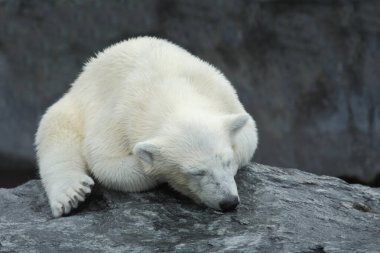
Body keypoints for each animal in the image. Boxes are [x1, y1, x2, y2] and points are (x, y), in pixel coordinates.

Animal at [35, 36, 258, 216]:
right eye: (197, 172)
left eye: (227, 162)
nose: (228, 202)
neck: (166, 91)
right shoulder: (118, 116)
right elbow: (105, 161)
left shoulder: (219, 91)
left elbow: (249, 133)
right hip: (74, 106)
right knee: (56, 132)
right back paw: (71, 193)